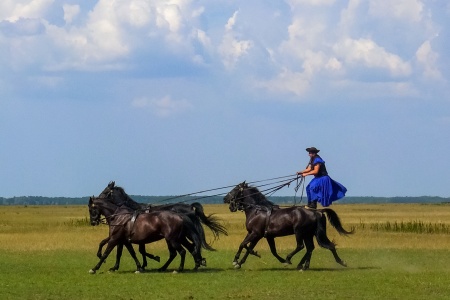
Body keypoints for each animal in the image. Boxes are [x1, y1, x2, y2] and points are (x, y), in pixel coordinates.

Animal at [223, 182, 354, 270]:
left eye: (234, 189)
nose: (225, 198)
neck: (257, 210)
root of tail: (317, 211)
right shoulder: (263, 236)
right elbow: (264, 249)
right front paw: (241, 261)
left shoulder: (255, 234)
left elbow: (244, 244)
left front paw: (237, 261)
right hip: (309, 234)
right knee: (315, 247)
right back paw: (305, 265)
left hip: (299, 232)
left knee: (302, 246)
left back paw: (290, 259)